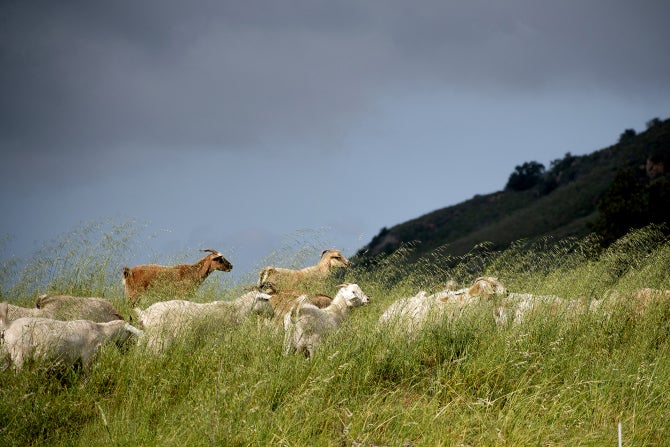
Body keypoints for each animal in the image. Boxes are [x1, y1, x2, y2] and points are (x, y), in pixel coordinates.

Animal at [0, 302, 143, 372]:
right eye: (129, 333)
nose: (128, 349)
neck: (100, 330)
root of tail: (9, 325)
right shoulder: (87, 358)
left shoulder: (76, 362)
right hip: (19, 357)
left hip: (7, 356)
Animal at [134, 290, 273, 353]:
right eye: (266, 300)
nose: (272, 314)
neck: (237, 310)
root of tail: (144, 313)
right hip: (157, 338)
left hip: (144, 338)